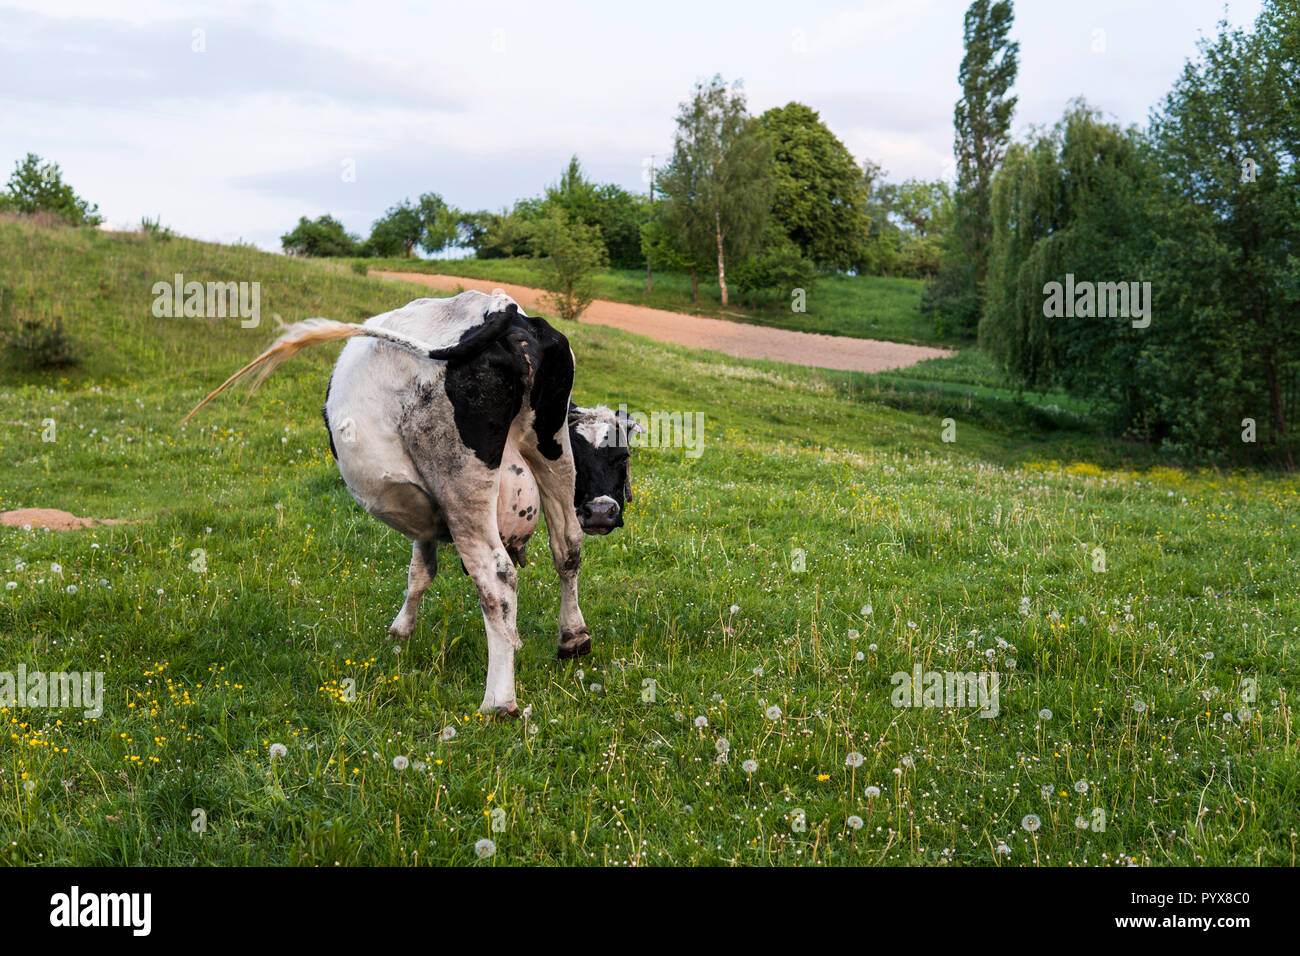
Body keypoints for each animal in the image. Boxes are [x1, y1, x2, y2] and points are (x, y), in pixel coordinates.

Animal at [184, 291, 641, 716]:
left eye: (621, 458)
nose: (602, 512)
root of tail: (501, 309)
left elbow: (418, 571)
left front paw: (399, 629)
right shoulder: (429, 506)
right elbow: (422, 570)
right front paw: (405, 630)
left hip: (459, 479)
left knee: (496, 578)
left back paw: (498, 702)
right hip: (551, 451)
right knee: (567, 547)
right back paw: (573, 638)